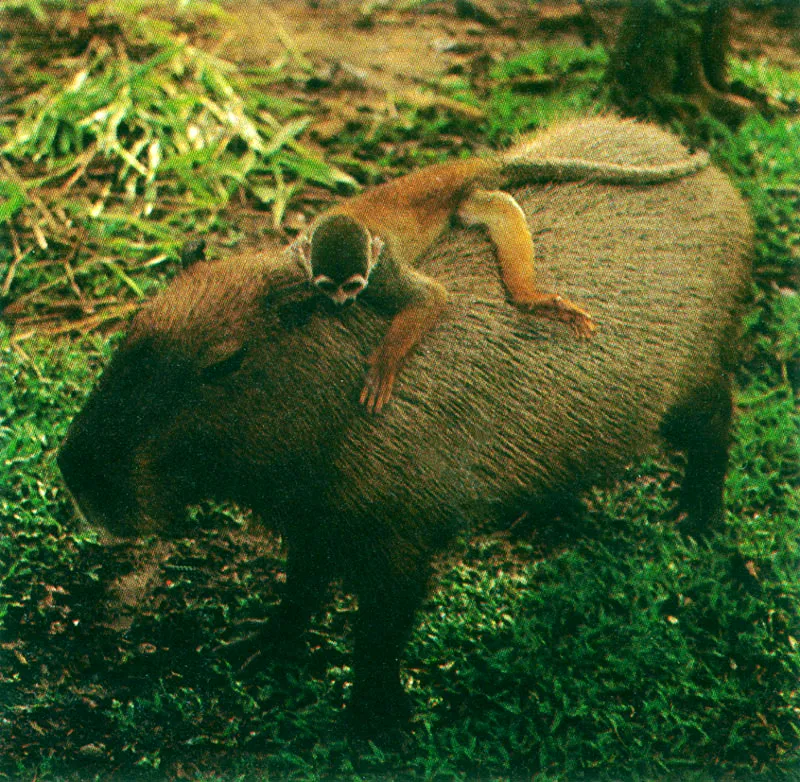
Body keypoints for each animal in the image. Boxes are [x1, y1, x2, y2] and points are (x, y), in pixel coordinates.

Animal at [290, 148, 708, 416]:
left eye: (353, 285)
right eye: (329, 285)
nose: (340, 302)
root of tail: (463, 165)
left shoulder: (382, 272)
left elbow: (431, 297)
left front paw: (384, 362)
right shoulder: (298, 251)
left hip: (466, 193)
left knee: (501, 211)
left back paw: (529, 297)